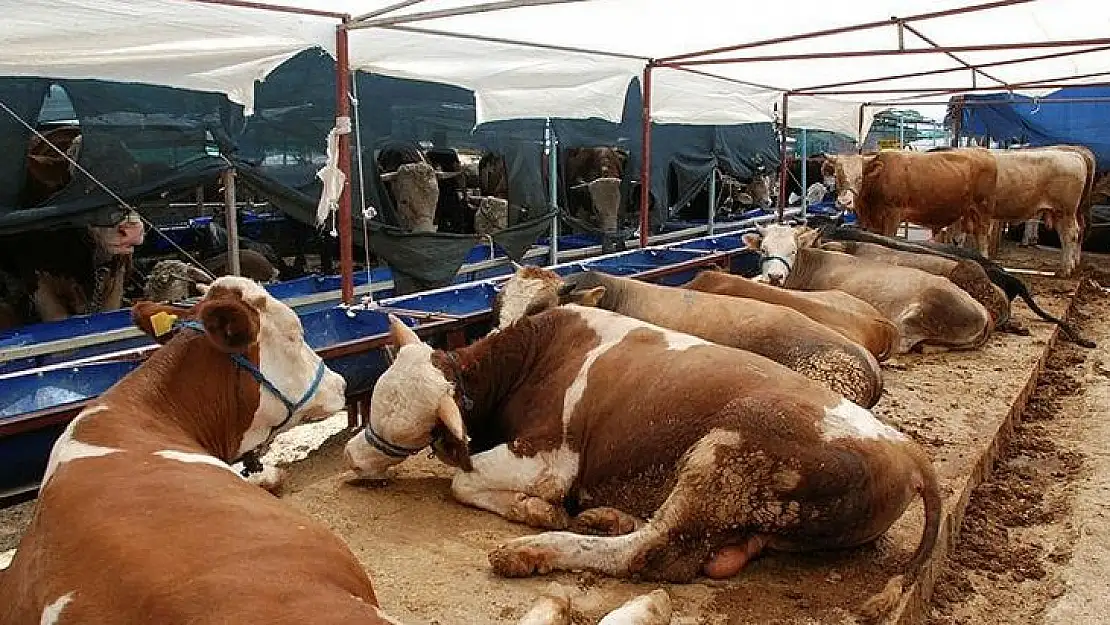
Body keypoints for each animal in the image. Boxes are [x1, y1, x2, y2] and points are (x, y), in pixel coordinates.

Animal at [341, 310, 941, 621]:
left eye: (405, 428)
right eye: (376, 401)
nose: (350, 454)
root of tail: (909, 450)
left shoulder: (550, 460)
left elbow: (462, 483)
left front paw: (537, 512)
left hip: (726, 452)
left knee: (654, 554)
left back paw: (535, 548)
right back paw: (605, 516)